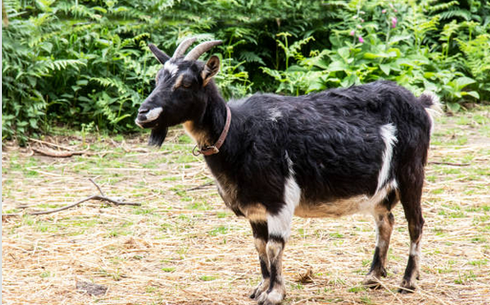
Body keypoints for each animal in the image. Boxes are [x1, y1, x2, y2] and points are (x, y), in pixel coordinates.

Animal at [136, 38, 442, 304]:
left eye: (186, 83)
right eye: (157, 78)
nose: (143, 113)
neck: (237, 133)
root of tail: (419, 103)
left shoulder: (279, 201)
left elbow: (274, 247)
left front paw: (274, 294)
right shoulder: (255, 209)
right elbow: (259, 247)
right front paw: (260, 288)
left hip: (411, 171)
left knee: (416, 223)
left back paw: (408, 282)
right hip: (382, 186)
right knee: (385, 221)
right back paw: (373, 277)